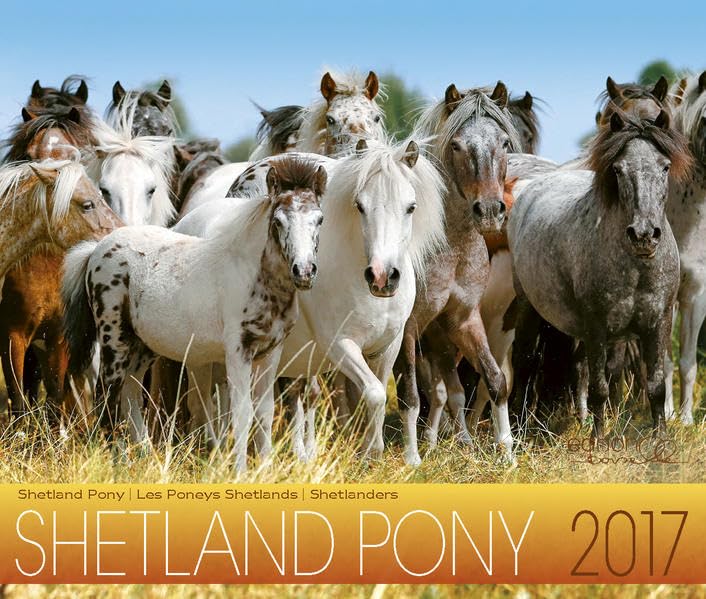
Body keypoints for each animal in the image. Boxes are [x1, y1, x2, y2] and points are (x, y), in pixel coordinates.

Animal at [62, 157, 326, 470]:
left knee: (130, 393)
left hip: (144, 345)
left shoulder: (270, 351)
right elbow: (241, 412)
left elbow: (264, 412)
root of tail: (94, 251)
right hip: (114, 340)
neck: (254, 276)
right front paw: (239, 471)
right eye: (278, 221)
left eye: (319, 219)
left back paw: (145, 456)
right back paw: (117, 460)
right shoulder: (237, 351)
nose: (304, 271)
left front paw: (264, 469)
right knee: (107, 396)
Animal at [175, 139, 445, 463]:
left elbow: (382, 393)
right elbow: (374, 394)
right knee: (207, 400)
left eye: (411, 207)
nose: (382, 277)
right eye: (360, 206)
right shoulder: (339, 344)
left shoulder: (387, 346)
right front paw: (371, 452)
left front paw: (380, 454)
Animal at [391, 82, 521, 465]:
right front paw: (411, 460)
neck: (449, 246)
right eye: (457, 145)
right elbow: (410, 395)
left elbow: (494, 381)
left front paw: (507, 453)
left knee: (446, 389)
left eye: (504, 142)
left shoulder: (462, 320)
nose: (490, 210)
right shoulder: (408, 329)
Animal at [508, 108, 691, 439]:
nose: (644, 235)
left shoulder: (659, 322)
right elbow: (599, 389)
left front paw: (661, 441)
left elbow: (656, 387)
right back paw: (518, 426)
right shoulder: (596, 327)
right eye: (618, 169)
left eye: (665, 166)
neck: (637, 269)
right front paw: (599, 441)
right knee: (525, 362)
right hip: (529, 308)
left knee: (579, 367)